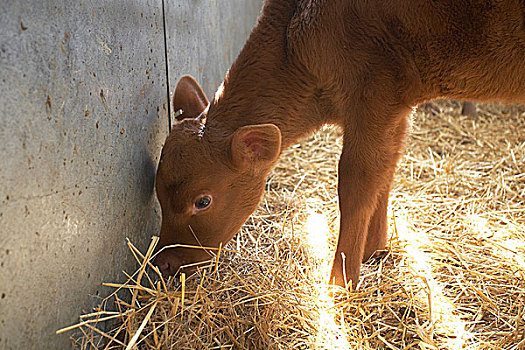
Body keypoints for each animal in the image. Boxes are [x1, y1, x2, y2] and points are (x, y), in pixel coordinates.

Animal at [154, 0, 524, 290]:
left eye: (202, 201)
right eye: (157, 194)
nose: (164, 263)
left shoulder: (374, 91)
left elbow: (357, 184)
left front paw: (340, 281)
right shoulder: (397, 107)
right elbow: (386, 170)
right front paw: (375, 250)